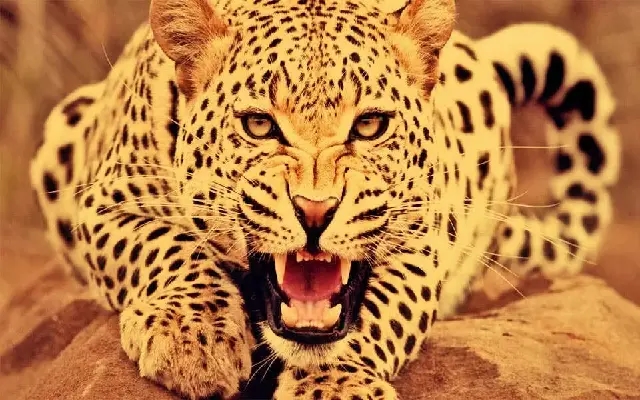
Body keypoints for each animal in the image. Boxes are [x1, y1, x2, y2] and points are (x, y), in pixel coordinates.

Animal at [29, 0, 620, 399]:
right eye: (259, 125)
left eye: (371, 125)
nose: (315, 211)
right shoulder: (104, 202)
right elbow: (166, 247)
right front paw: (192, 337)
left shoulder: (423, 238)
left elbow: (378, 315)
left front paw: (333, 387)